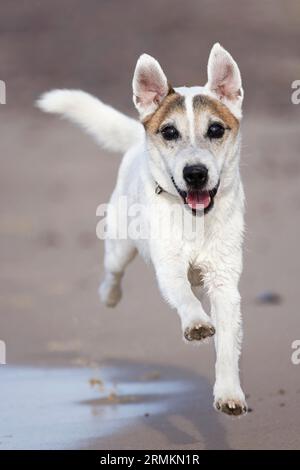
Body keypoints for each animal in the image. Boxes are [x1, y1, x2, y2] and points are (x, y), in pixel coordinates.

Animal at [37, 41, 247, 414]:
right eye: (169, 132)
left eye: (216, 130)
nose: (195, 173)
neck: (194, 219)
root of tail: (137, 143)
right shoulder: (169, 268)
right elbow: (184, 296)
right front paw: (196, 323)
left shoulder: (224, 281)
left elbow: (225, 343)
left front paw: (228, 392)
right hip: (118, 246)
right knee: (113, 273)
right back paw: (109, 295)